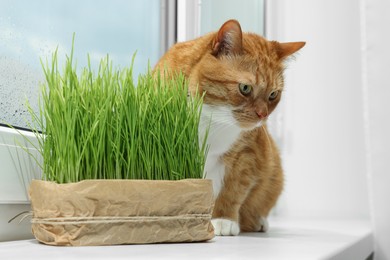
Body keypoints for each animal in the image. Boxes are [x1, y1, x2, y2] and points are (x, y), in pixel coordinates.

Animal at [155, 19, 304, 236]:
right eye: (245, 88)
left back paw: (257, 222)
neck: (212, 118)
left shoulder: (247, 155)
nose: (263, 115)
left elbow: (232, 191)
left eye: (273, 95)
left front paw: (223, 219)